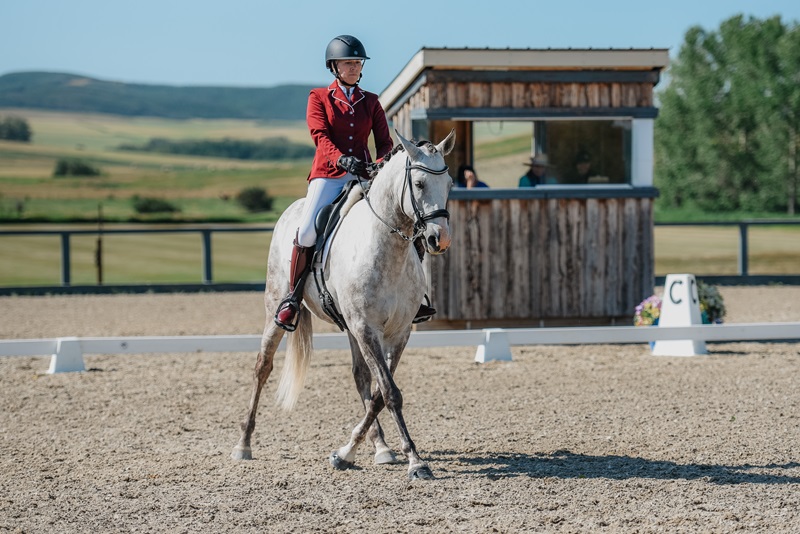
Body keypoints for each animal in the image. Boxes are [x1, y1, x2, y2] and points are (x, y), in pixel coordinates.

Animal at [231, 129, 456, 480]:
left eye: (449, 184)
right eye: (419, 184)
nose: (439, 239)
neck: (387, 250)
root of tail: (292, 211)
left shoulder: (398, 332)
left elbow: (379, 393)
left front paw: (348, 450)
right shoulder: (366, 327)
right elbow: (390, 392)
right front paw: (416, 461)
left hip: (351, 327)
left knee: (360, 376)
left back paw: (380, 447)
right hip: (277, 310)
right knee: (262, 367)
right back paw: (243, 444)